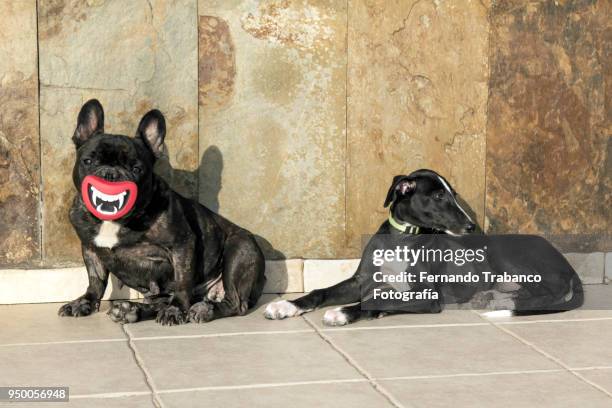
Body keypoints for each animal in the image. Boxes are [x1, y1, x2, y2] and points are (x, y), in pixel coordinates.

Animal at [58, 99, 266, 326]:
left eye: (137, 169)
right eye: (88, 161)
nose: (111, 174)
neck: (115, 222)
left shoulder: (182, 244)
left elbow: (182, 282)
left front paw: (175, 310)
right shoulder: (90, 248)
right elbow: (95, 280)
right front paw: (84, 302)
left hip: (240, 249)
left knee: (234, 302)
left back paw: (202, 310)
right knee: (159, 301)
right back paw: (130, 310)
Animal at [264, 169, 584, 326]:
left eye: (454, 194)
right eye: (440, 195)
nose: (471, 227)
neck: (403, 239)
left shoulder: (427, 295)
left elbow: (385, 298)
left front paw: (344, 312)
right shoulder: (361, 279)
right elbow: (321, 291)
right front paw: (286, 305)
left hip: (508, 254)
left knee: (547, 293)